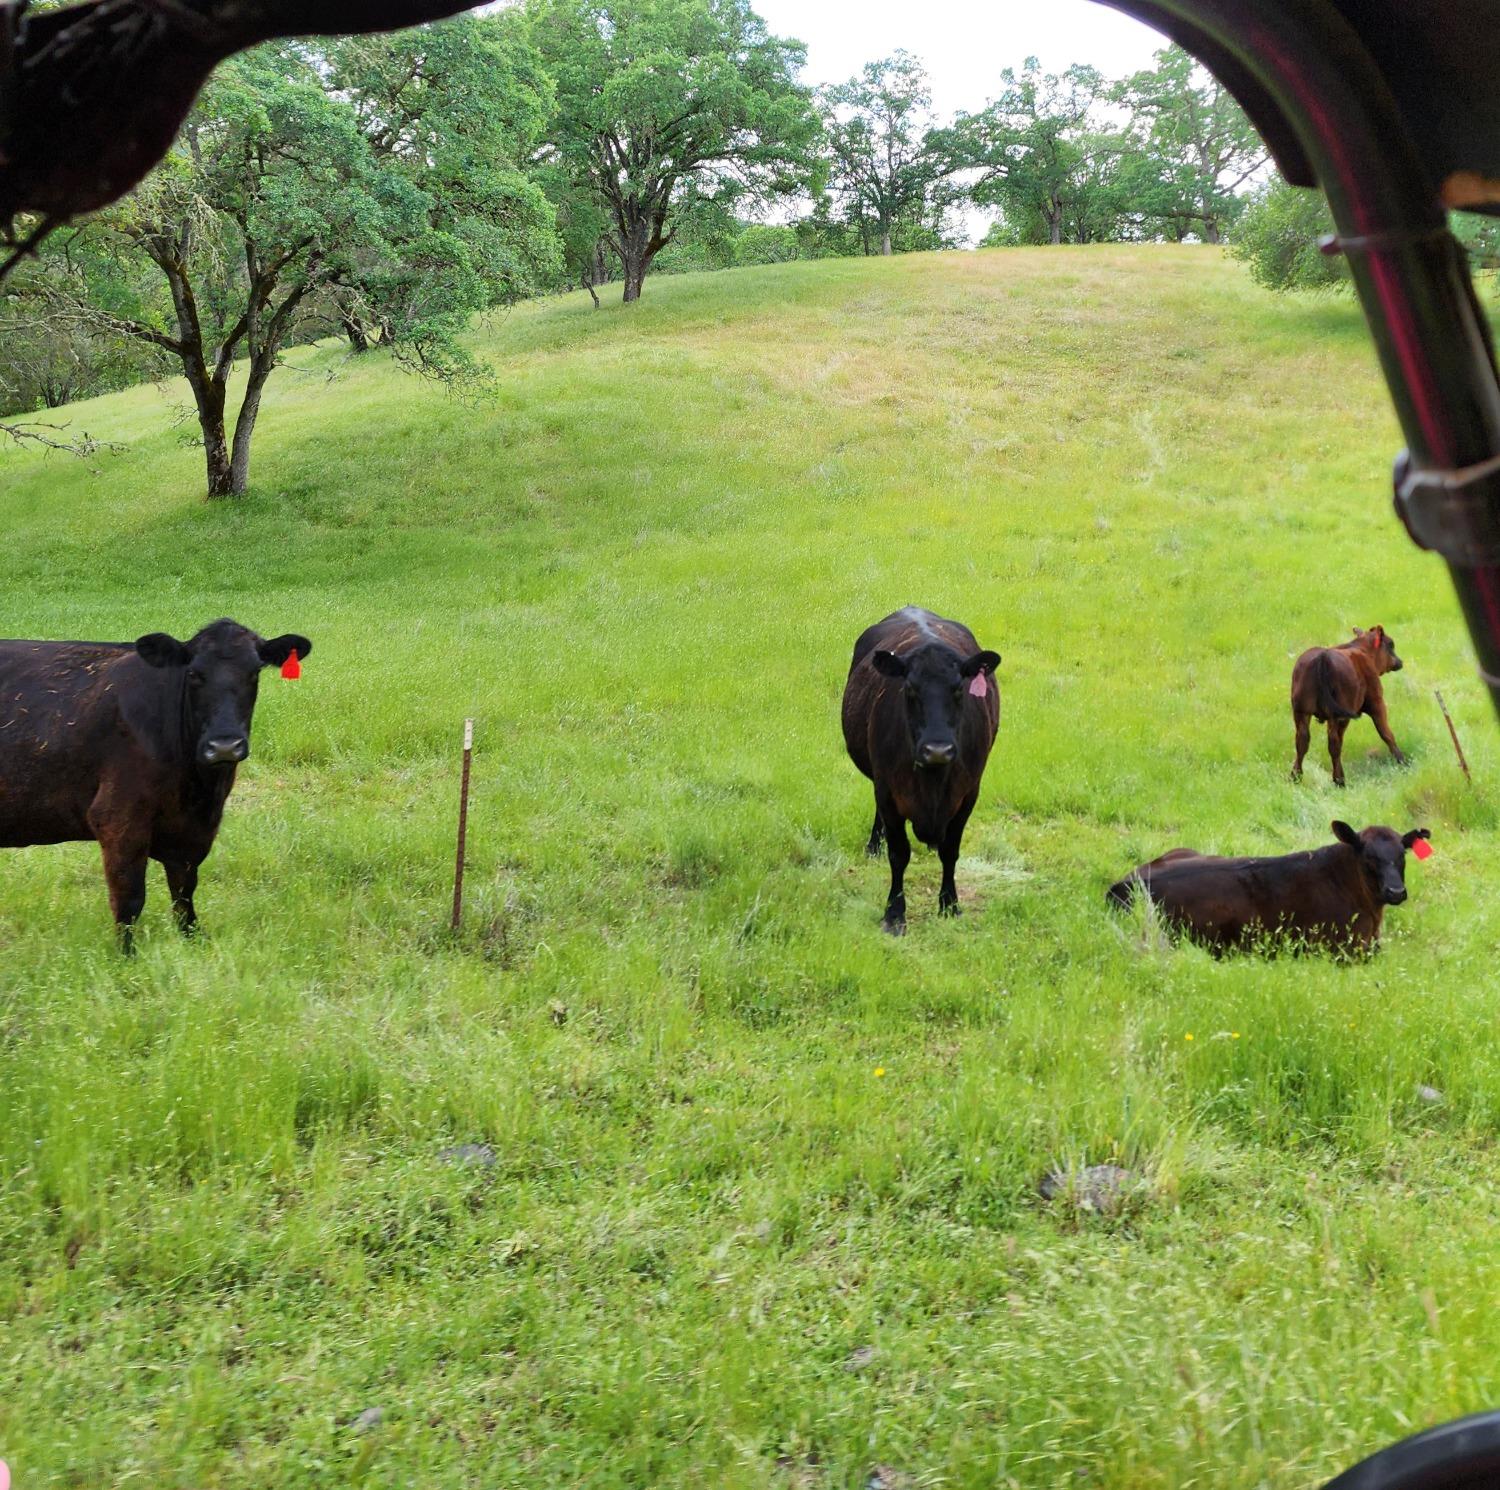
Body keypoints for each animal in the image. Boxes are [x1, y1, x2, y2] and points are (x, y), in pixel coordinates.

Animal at [840, 606, 1002, 930]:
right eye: (910, 690)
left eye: (959, 689)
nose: (937, 750)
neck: (932, 782)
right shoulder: (888, 790)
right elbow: (899, 853)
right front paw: (894, 913)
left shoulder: (968, 793)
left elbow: (950, 850)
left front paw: (950, 905)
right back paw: (874, 845)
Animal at [1290, 624, 1404, 786]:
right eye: (1390, 644)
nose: (1400, 661)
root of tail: (1323, 656)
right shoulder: (1377, 703)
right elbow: (1386, 733)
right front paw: (1402, 761)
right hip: (1339, 716)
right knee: (1334, 744)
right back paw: (1339, 780)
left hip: (1301, 710)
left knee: (1302, 741)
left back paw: (1295, 776)